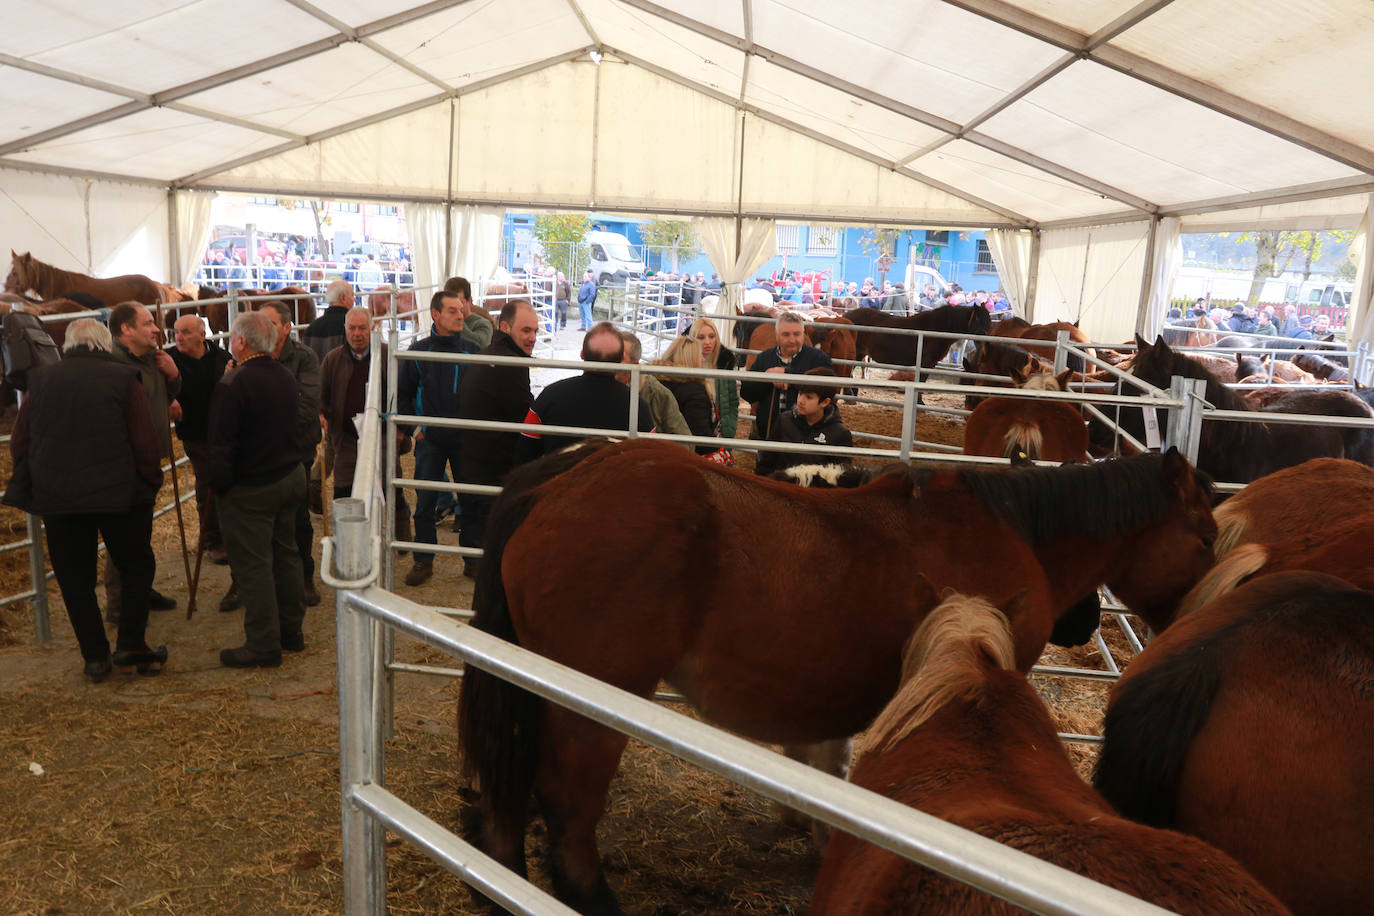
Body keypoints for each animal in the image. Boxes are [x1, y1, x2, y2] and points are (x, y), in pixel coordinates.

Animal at [458, 439, 1214, 911]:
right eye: (1207, 535)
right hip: (592, 707)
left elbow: (828, 763)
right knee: (567, 809)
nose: (1084, 625)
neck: (1009, 529)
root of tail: (561, 478)